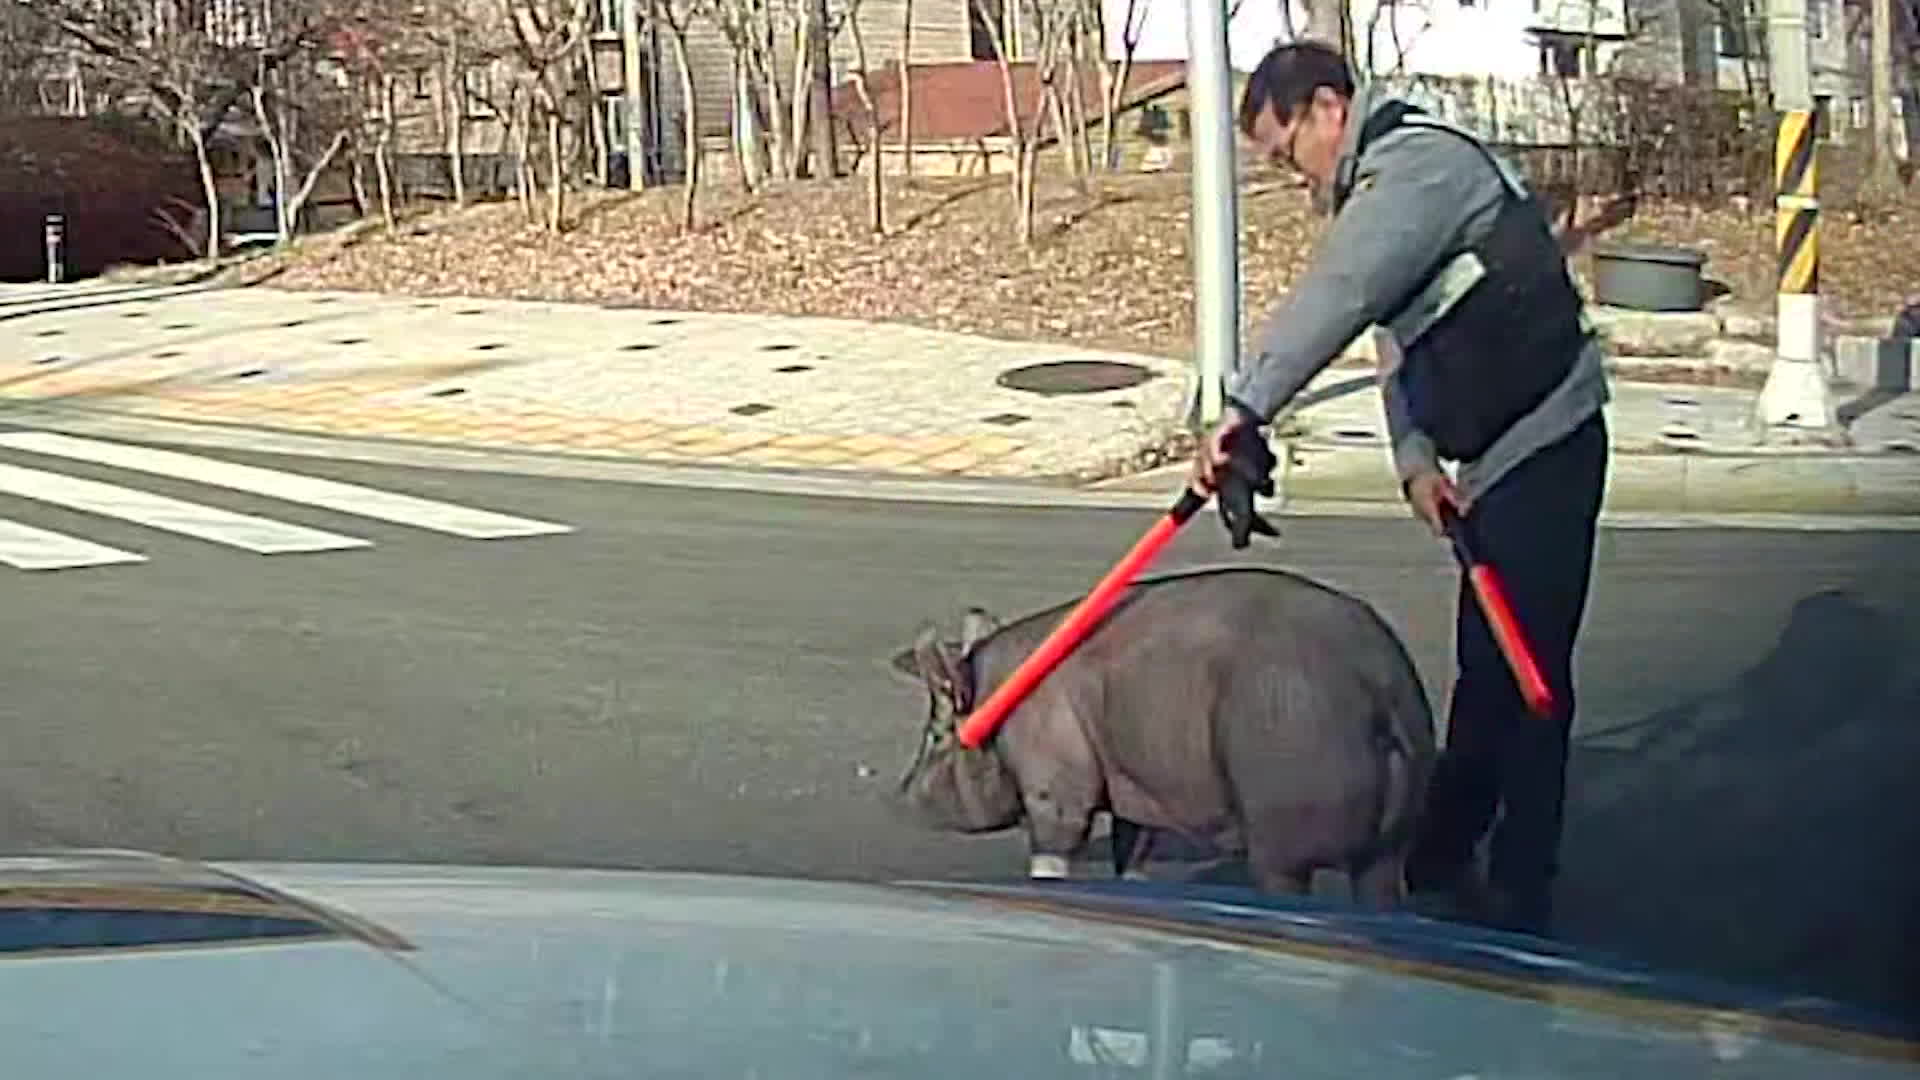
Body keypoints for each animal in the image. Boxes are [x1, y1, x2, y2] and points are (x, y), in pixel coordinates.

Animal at [890, 557, 1436, 903]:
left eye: (937, 734)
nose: (902, 795)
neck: (997, 701)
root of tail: (1378, 688)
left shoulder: (1056, 781)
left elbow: (1055, 848)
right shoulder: (1134, 786)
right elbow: (1133, 848)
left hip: (1288, 801)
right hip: (1392, 843)